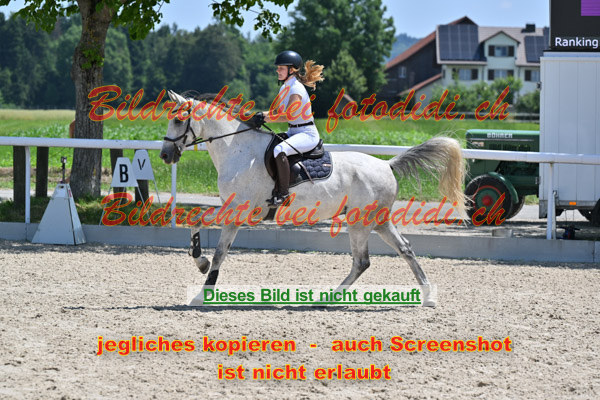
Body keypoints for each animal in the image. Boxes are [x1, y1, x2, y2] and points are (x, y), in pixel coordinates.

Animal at [160, 91, 467, 306]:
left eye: (178, 119)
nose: (164, 155)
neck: (237, 149)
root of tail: (386, 164)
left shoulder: (237, 212)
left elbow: (218, 248)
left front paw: (201, 290)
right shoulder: (231, 210)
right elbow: (197, 221)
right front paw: (200, 263)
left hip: (360, 223)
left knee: (363, 261)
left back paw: (329, 299)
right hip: (378, 221)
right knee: (404, 249)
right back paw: (427, 297)